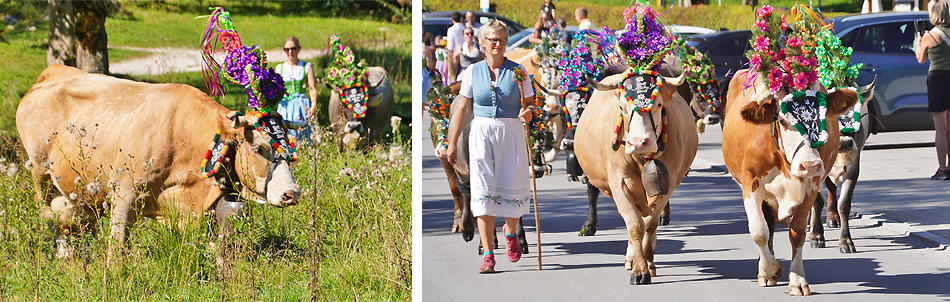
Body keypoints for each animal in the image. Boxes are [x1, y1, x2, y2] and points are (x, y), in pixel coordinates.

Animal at [17, 65, 302, 260]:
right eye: (260, 148)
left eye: (290, 149)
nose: (292, 194)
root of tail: (54, 70)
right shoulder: (124, 192)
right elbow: (117, 244)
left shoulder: (209, 205)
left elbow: (216, 246)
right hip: (40, 174)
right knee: (50, 216)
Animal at [724, 70, 868, 294]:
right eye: (783, 121)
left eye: (824, 118)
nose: (810, 165)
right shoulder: (750, 184)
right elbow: (759, 231)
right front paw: (769, 270)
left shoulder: (810, 187)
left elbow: (798, 233)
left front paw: (797, 280)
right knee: (767, 225)